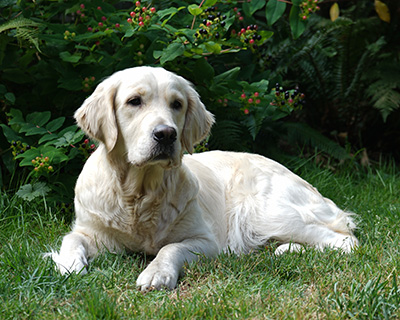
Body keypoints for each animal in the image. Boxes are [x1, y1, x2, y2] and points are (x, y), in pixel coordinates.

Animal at [50, 66, 360, 292]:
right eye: (134, 102)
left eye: (176, 104)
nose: (166, 134)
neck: (140, 195)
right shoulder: (95, 232)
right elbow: (71, 239)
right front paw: (70, 265)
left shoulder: (206, 241)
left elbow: (170, 248)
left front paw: (157, 273)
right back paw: (287, 250)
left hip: (265, 212)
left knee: (346, 240)